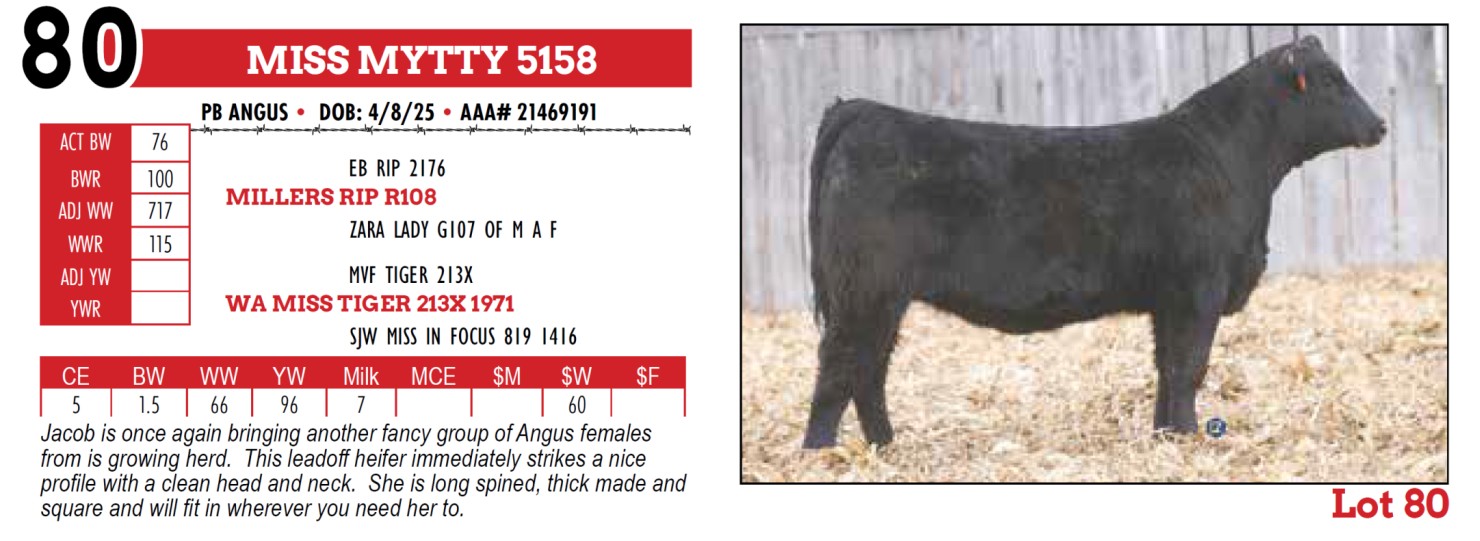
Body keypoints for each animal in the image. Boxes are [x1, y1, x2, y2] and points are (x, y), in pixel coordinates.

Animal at [803, 35, 1386, 448]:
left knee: (869, 370)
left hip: (881, 297)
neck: (1231, 159)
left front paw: (1166, 437)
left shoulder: (1168, 299)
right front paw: (1190, 440)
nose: (1380, 125)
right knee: (840, 366)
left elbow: (1166, 367)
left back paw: (884, 446)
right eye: (1331, 81)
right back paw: (823, 454)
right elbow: (1189, 367)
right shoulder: (1199, 288)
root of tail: (864, 109)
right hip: (865, 290)